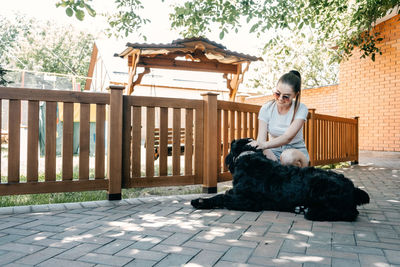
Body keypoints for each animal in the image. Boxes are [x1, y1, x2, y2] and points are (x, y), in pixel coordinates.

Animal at [192, 138, 370, 222]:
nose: (226, 159)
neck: (249, 157)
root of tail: (353, 188)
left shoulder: (248, 201)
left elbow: (222, 197)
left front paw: (201, 201)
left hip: (320, 186)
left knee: (350, 213)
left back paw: (311, 212)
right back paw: (302, 208)